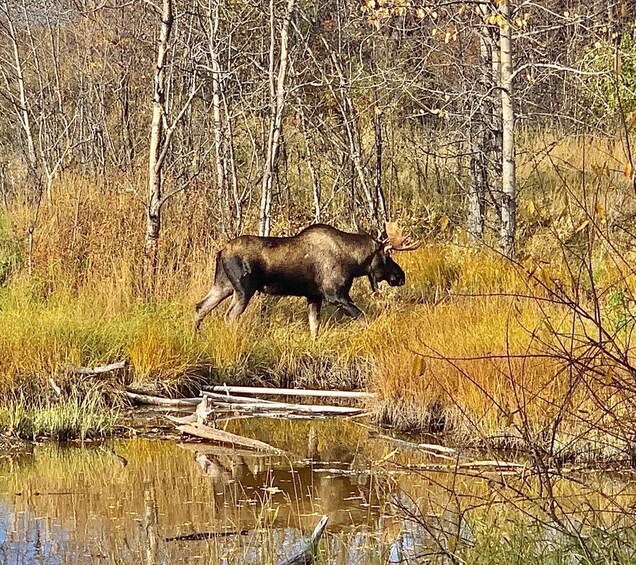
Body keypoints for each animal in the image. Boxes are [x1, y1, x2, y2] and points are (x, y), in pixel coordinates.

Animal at [196, 220, 420, 334]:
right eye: (388, 256)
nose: (401, 276)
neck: (354, 262)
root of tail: (221, 252)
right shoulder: (335, 295)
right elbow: (363, 318)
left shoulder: (314, 296)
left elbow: (314, 328)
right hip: (243, 289)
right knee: (229, 316)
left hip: (223, 285)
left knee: (200, 307)